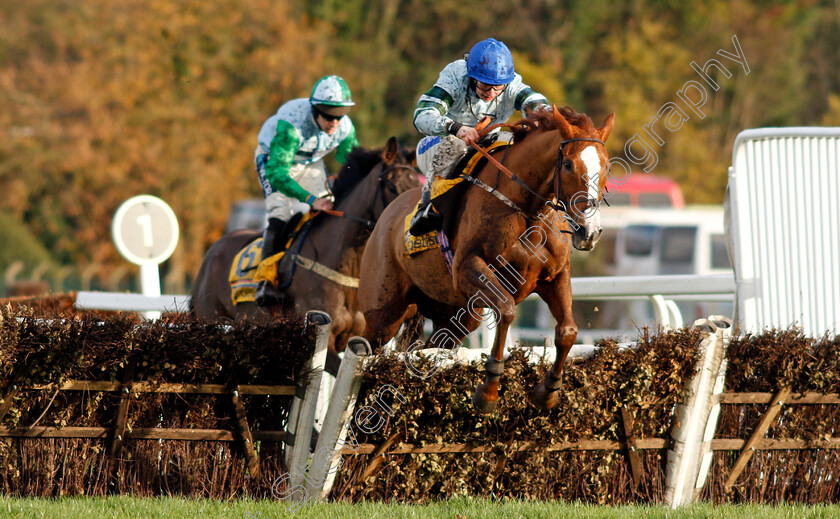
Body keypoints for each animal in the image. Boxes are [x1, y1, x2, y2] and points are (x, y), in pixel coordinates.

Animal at [190, 138, 420, 374]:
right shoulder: (323, 339)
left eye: (417, 186)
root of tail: (214, 249)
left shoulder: (365, 338)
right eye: (391, 186)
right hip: (211, 319)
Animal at [358, 106, 612, 414]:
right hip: (383, 314)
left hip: (457, 316)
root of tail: (386, 216)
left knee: (430, 348)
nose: (590, 231)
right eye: (568, 164)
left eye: (606, 165)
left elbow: (568, 331)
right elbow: (507, 310)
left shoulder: (555, 276)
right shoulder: (468, 268)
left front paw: (547, 392)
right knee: (365, 351)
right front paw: (488, 392)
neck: (527, 211)